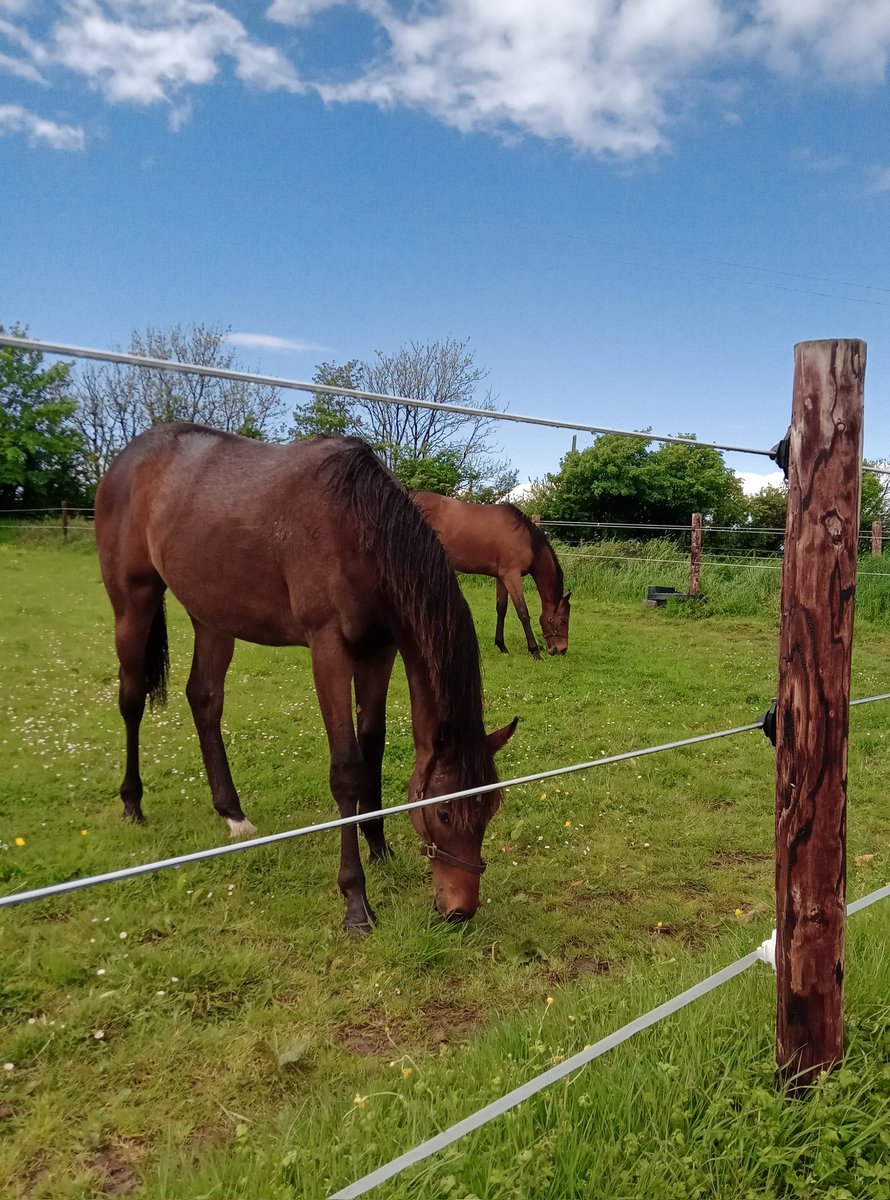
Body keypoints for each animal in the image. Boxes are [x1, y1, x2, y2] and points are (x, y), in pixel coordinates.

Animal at [94, 424, 520, 936]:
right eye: (442, 810)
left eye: (491, 807)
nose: (460, 910)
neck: (359, 526)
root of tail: (126, 459)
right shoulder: (328, 648)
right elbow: (347, 770)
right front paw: (356, 902)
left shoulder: (379, 650)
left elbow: (372, 746)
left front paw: (378, 845)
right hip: (132, 602)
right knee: (132, 699)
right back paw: (132, 804)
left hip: (212, 616)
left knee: (204, 698)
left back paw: (233, 814)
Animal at [415, 492, 575, 662]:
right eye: (563, 620)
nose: (562, 649)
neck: (527, 540)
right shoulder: (512, 576)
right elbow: (523, 612)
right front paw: (534, 651)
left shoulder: (502, 577)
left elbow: (501, 609)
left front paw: (501, 645)